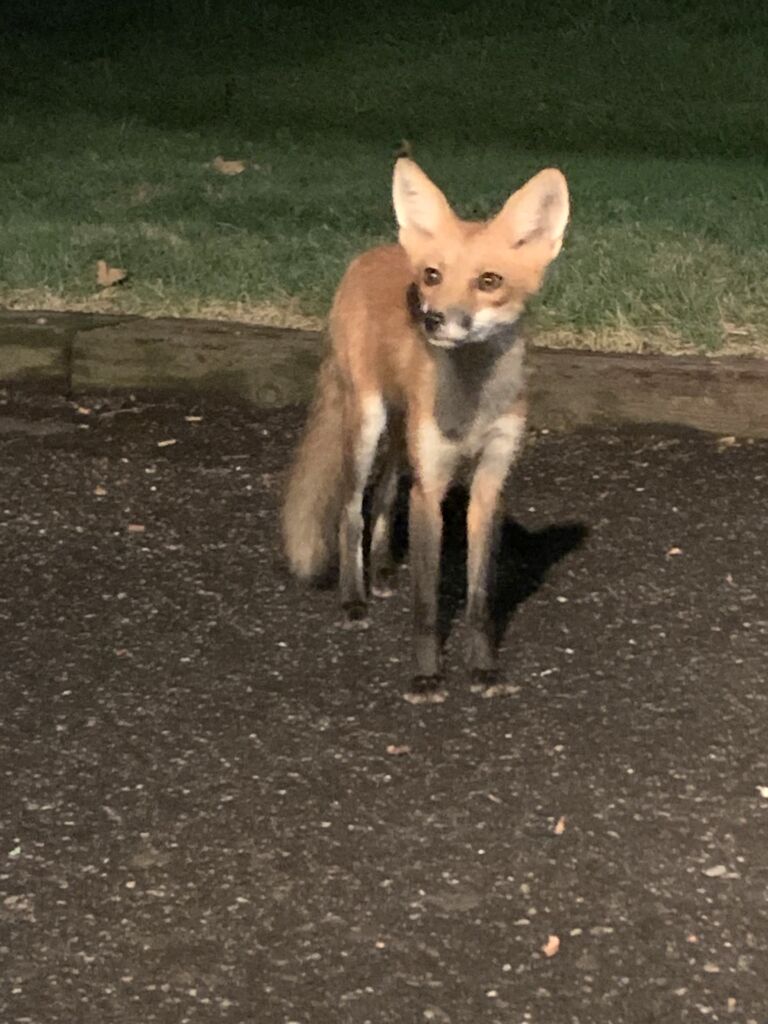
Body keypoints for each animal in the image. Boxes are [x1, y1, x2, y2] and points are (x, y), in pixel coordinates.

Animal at [282, 156, 569, 698]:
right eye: (433, 275)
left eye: (489, 281)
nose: (432, 319)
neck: (472, 405)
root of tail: (375, 252)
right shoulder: (432, 485)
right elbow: (427, 602)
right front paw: (426, 675)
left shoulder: (489, 483)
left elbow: (479, 598)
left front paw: (483, 668)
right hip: (368, 424)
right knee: (352, 510)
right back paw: (354, 597)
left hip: (402, 438)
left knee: (384, 494)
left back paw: (382, 568)